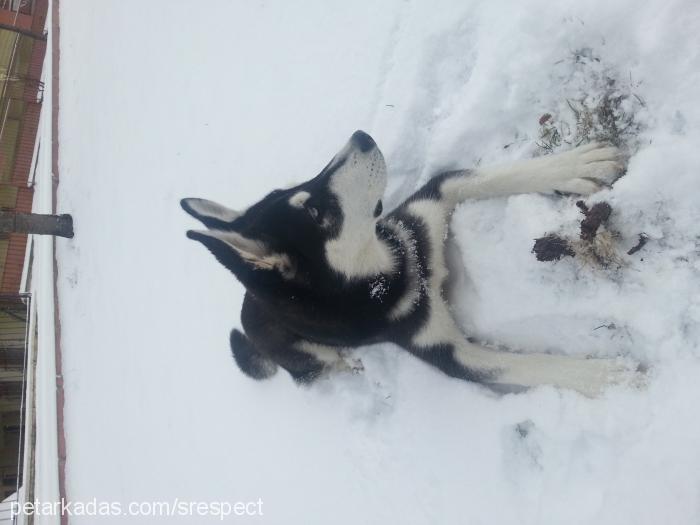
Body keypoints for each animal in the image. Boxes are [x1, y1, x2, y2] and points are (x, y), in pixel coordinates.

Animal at [182, 130, 640, 392]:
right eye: (316, 212)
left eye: (299, 189)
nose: (361, 135)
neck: (394, 269)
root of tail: (247, 307)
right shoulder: (446, 354)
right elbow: (527, 366)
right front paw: (603, 378)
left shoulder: (430, 203)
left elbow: (493, 175)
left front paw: (575, 164)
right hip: (305, 353)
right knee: (321, 366)